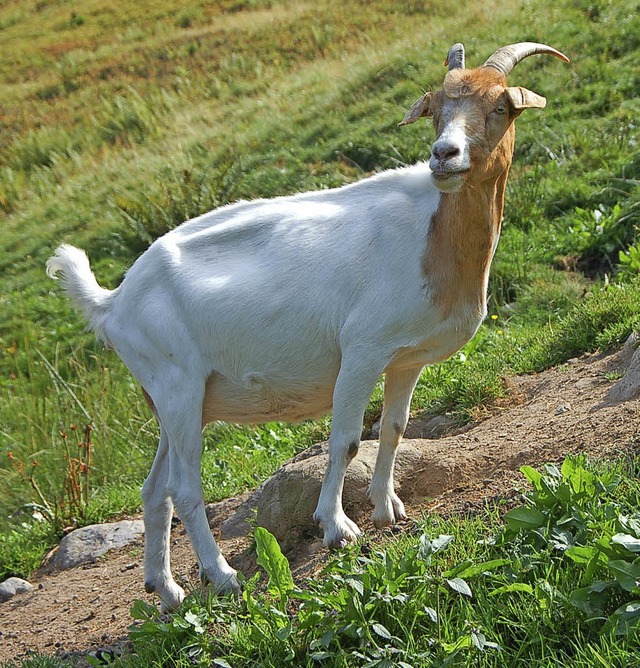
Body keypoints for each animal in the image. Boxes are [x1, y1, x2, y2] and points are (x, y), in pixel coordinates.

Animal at [48, 41, 568, 612]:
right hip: (177, 385)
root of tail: (113, 301)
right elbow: (345, 440)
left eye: (500, 106)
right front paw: (338, 527)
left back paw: (167, 590)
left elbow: (394, 428)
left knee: (153, 489)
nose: (444, 156)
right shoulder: (362, 350)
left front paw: (387, 508)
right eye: (435, 108)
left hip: (171, 400)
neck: (432, 236)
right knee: (184, 487)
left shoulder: (405, 359)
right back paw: (223, 576)